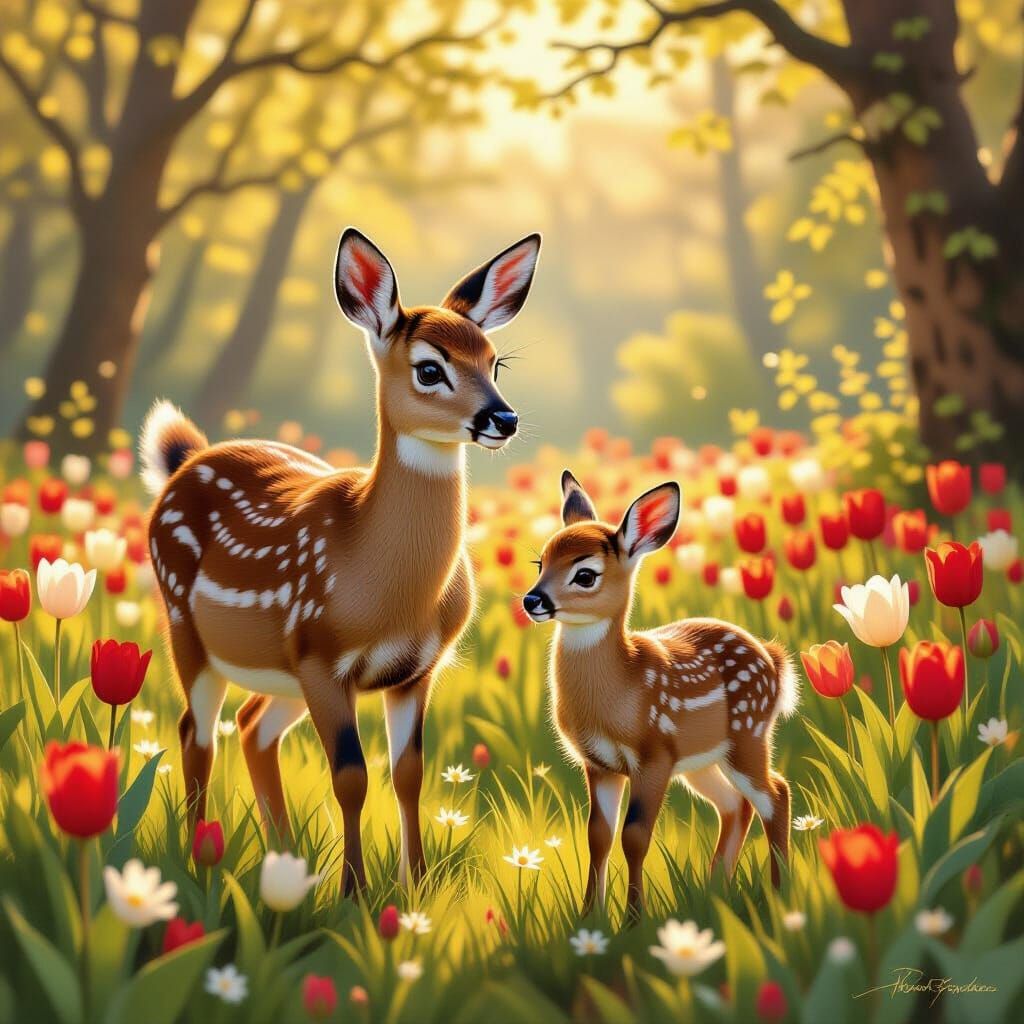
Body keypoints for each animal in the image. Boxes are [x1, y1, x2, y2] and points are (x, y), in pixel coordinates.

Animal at [140, 227, 541, 894]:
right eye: (429, 368)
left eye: (494, 361)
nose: (502, 418)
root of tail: (185, 458)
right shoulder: (323, 655)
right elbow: (351, 776)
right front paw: (354, 893)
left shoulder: (416, 669)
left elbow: (409, 774)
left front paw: (417, 887)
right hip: (185, 623)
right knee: (196, 734)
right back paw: (201, 859)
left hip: (281, 672)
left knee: (251, 726)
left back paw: (283, 858)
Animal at [523, 471, 798, 918]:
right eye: (541, 562)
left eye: (585, 575)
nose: (533, 600)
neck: (621, 687)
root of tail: (775, 660)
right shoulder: (597, 762)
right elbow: (598, 836)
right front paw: (589, 917)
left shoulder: (654, 754)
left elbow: (635, 836)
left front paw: (634, 920)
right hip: (702, 760)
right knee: (734, 804)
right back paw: (713, 891)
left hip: (748, 734)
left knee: (775, 792)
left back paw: (779, 892)